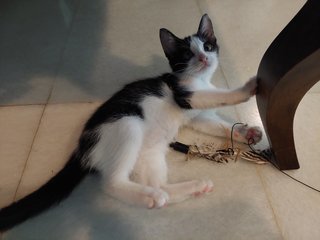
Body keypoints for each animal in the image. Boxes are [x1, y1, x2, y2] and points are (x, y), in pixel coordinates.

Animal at [0, 14, 262, 232]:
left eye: (207, 47)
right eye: (187, 54)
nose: (204, 58)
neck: (198, 79)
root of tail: (82, 147)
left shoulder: (197, 116)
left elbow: (215, 125)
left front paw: (246, 133)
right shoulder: (186, 96)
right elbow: (218, 95)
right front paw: (245, 90)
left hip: (149, 153)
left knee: (159, 185)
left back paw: (189, 188)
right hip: (127, 123)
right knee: (112, 183)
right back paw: (149, 196)